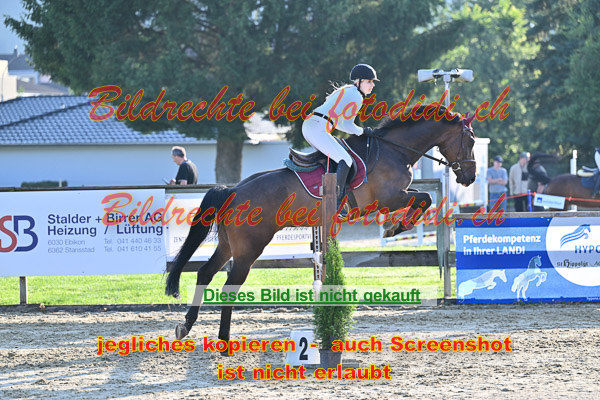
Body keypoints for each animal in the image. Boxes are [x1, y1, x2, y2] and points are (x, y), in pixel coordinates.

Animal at [165, 106, 478, 344]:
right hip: (249, 249)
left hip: (229, 245)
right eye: (472, 141)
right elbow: (425, 198)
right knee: (229, 285)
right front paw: (395, 228)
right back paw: (223, 339)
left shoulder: (396, 196)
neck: (394, 150)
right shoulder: (388, 198)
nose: (470, 178)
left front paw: (395, 227)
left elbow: (422, 198)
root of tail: (233, 190)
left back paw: (186, 326)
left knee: (204, 273)